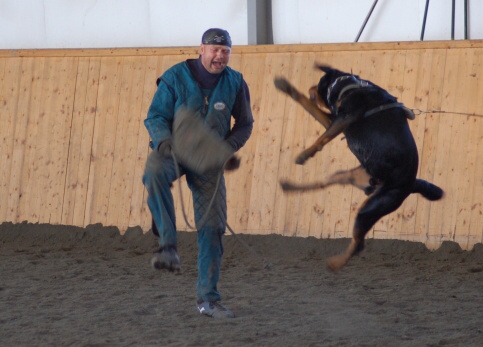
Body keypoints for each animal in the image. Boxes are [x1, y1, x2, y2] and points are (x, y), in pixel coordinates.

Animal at [274, 65, 444, 272]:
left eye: (320, 83)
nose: (310, 88)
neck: (351, 87)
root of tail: (411, 184)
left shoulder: (344, 119)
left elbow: (323, 137)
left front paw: (305, 153)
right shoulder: (334, 120)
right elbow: (309, 107)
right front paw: (286, 87)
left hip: (372, 208)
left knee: (359, 244)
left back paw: (335, 264)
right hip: (349, 176)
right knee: (322, 184)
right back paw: (288, 186)